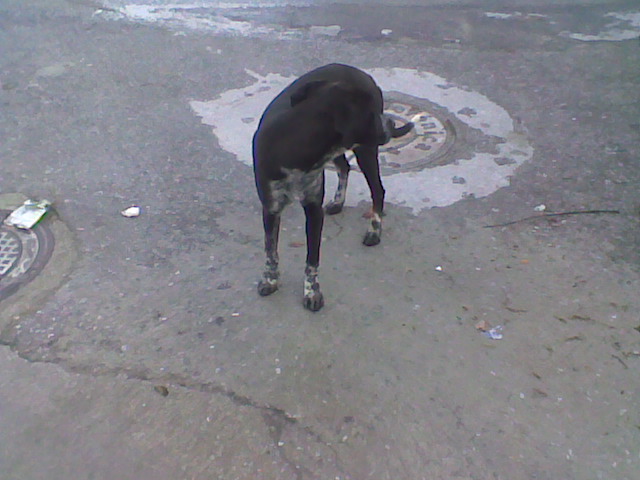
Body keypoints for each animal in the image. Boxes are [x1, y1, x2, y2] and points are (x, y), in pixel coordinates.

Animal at [252, 63, 412, 312]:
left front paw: (312, 292)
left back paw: (374, 231)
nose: (391, 123)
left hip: (365, 149)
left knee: (378, 190)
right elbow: (271, 249)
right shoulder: (271, 206)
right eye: (372, 114)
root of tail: (363, 74)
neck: (293, 144)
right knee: (345, 167)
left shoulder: (313, 209)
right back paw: (338, 201)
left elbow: (312, 258)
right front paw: (270, 279)